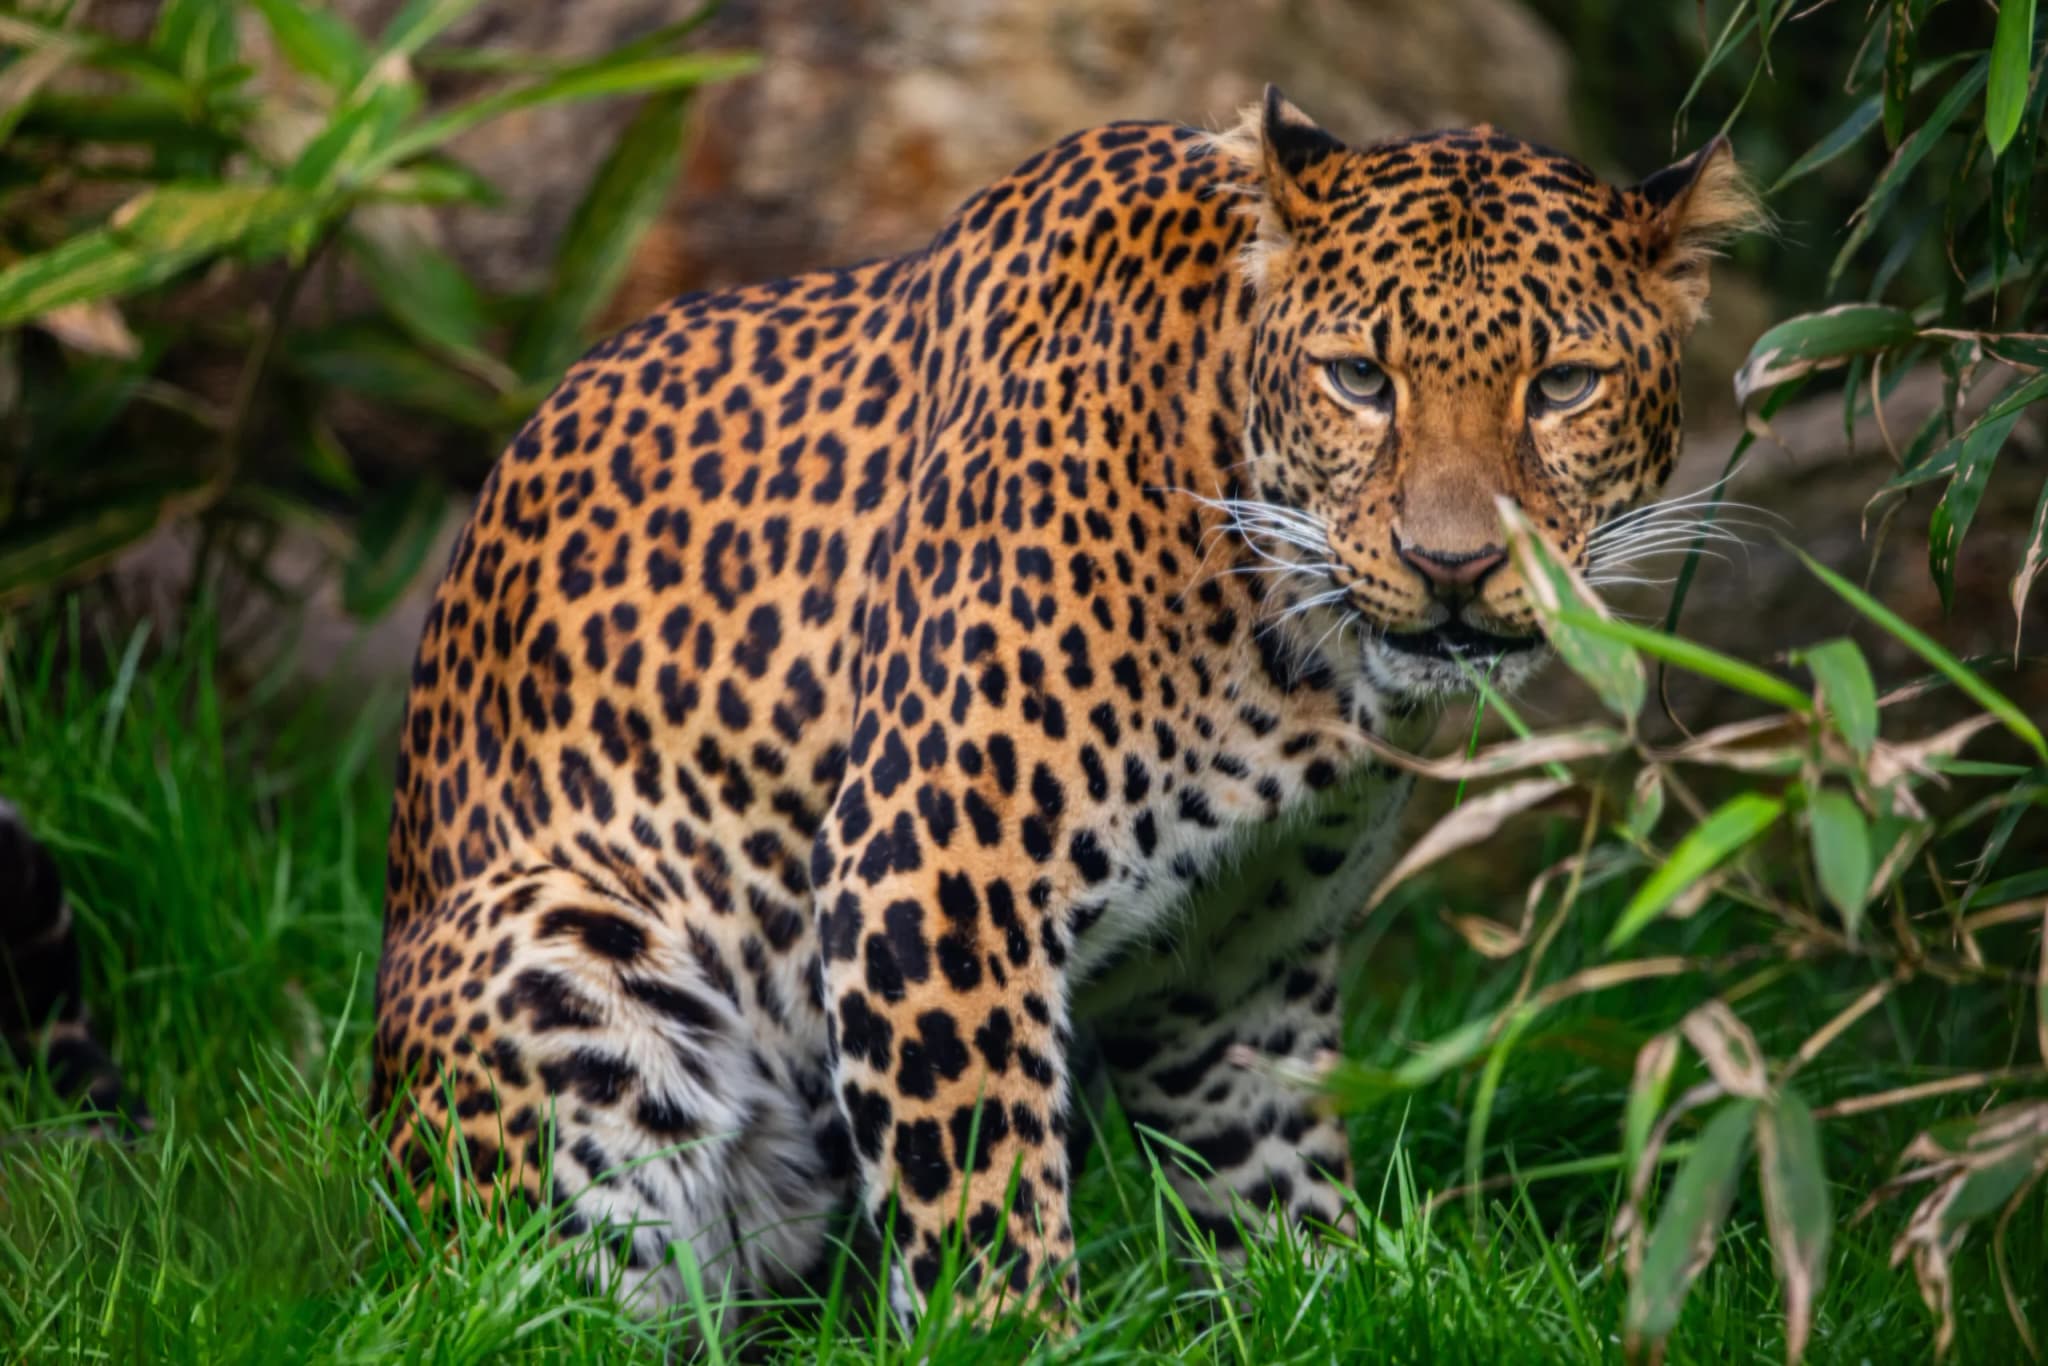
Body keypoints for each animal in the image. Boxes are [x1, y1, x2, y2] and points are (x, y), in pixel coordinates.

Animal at [370, 86, 1757, 1326]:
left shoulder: (1237, 963)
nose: (1452, 564)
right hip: (552, 948)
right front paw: (1016, 1331)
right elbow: (983, 1206)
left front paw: (1341, 1297)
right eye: (1359, 378)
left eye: (1563, 384)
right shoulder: (924, 875)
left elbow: (1276, 1189)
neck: (1299, 661)